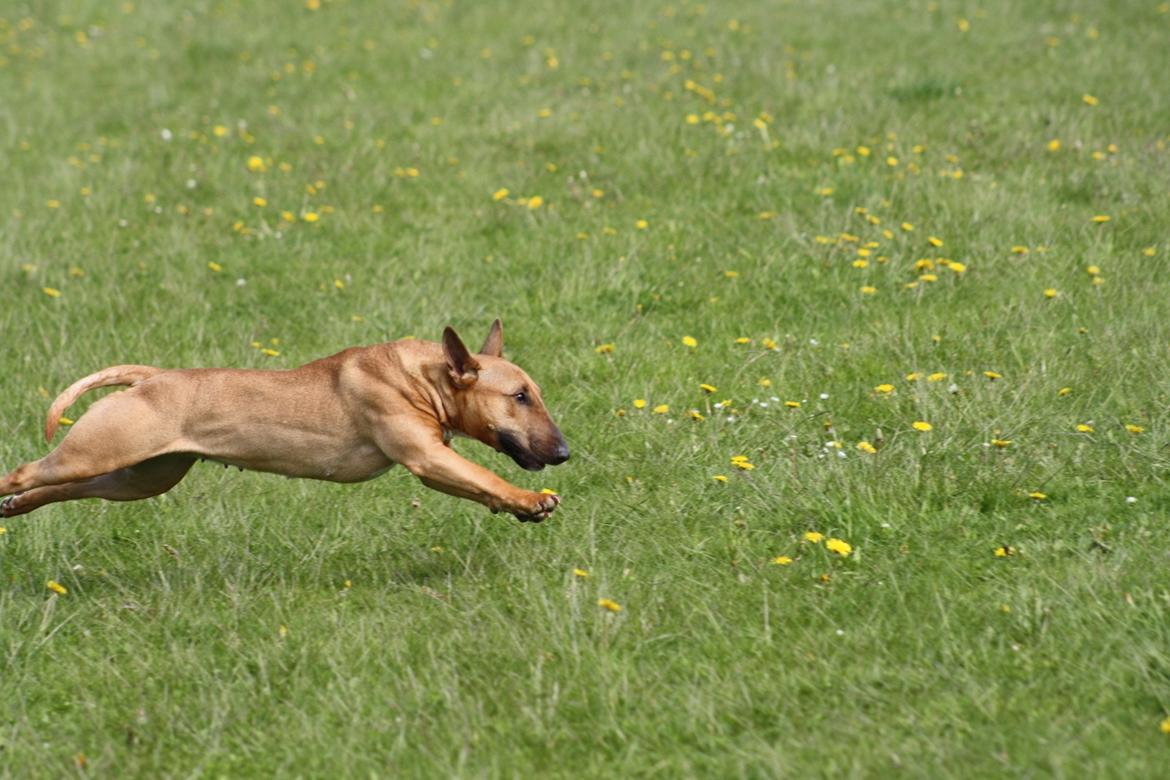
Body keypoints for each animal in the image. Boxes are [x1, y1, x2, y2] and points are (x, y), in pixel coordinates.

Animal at [0, 318, 566, 523]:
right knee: (24, 471)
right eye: (519, 396)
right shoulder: (426, 457)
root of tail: (152, 378)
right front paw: (530, 499)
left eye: (535, 394)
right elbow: (484, 475)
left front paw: (518, 508)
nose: (563, 453)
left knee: (66, 487)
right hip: (99, 451)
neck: (424, 377)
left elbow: (479, 484)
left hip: (138, 476)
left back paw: (18, 509)